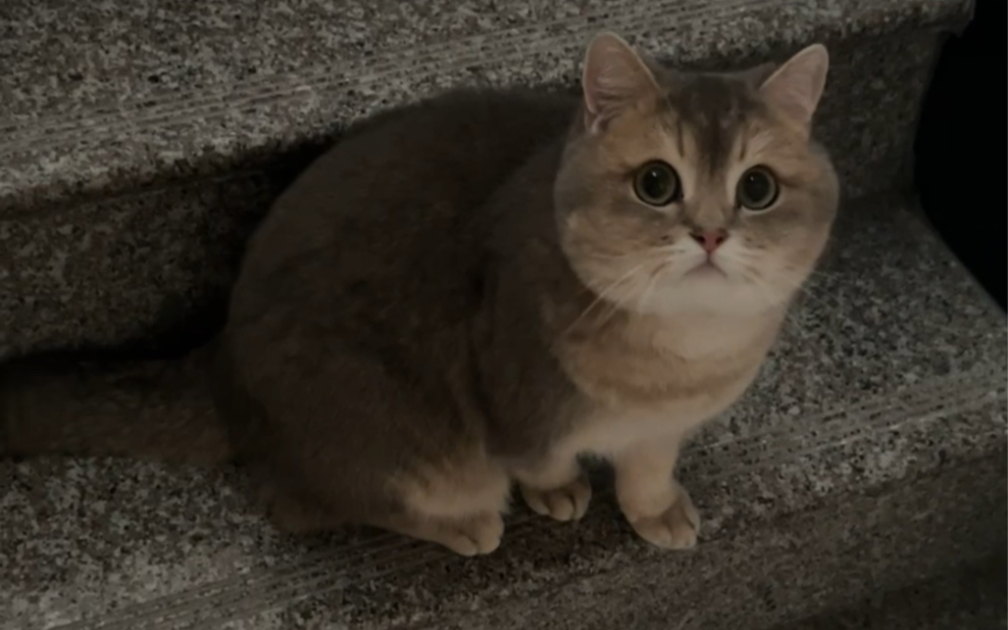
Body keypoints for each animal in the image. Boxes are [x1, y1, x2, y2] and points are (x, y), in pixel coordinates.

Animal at [0, 33, 838, 556]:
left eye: (757, 189)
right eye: (657, 182)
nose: (710, 234)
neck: (681, 353)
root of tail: (221, 360)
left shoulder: (662, 425)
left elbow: (648, 465)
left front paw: (656, 509)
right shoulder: (516, 398)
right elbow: (539, 459)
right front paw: (560, 492)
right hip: (401, 438)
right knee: (298, 504)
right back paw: (466, 523)